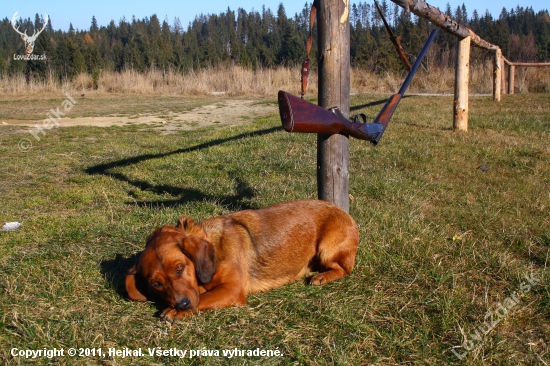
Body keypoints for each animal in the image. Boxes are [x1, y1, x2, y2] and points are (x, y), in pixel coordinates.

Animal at [125, 199, 360, 322]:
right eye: (156, 284)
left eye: (180, 268)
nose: (182, 304)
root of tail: (345, 212)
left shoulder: (231, 290)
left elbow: (204, 299)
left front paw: (175, 311)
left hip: (327, 249)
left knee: (344, 269)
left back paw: (322, 277)